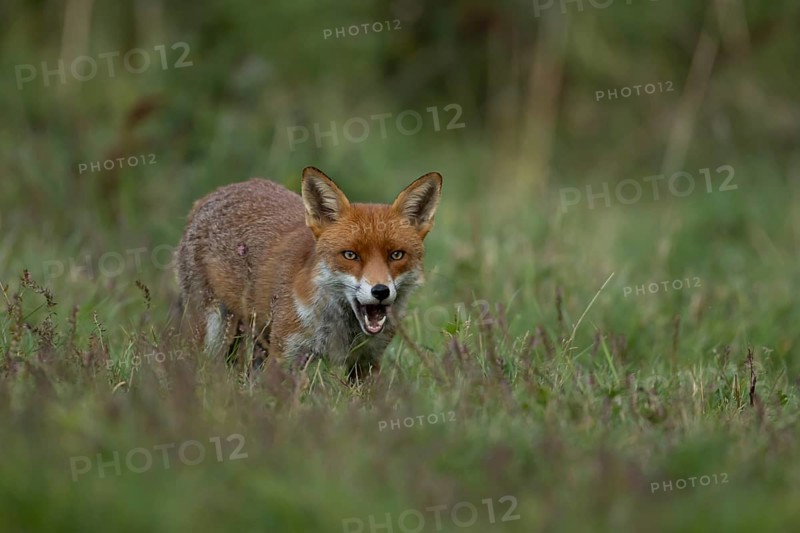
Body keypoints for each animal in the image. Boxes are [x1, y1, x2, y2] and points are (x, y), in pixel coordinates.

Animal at [175, 166, 442, 381]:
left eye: (396, 255)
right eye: (350, 255)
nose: (380, 291)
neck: (341, 329)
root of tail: (213, 194)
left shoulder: (366, 362)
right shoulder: (286, 356)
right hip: (211, 330)